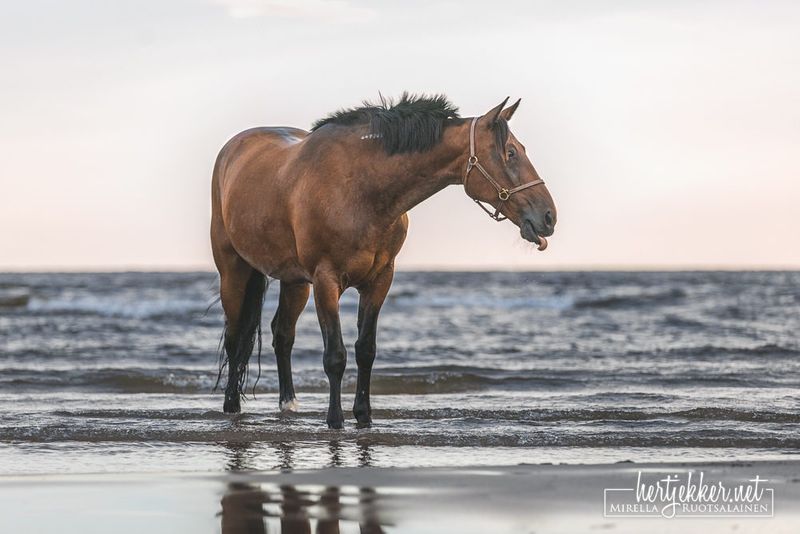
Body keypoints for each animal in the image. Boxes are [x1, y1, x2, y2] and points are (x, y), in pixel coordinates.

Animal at [211, 92, 556, 430]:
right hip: (234, 270)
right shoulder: (326, 280)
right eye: (510, 153)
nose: (548, 216)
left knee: (282, 335)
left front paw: (364, 416)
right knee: (235, 337)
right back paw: (231, 406)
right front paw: (335, 420)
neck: (361, 188)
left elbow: (366, 350)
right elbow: (335, 355)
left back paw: (288, 405)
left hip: (294, 281)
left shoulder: (379, 280)